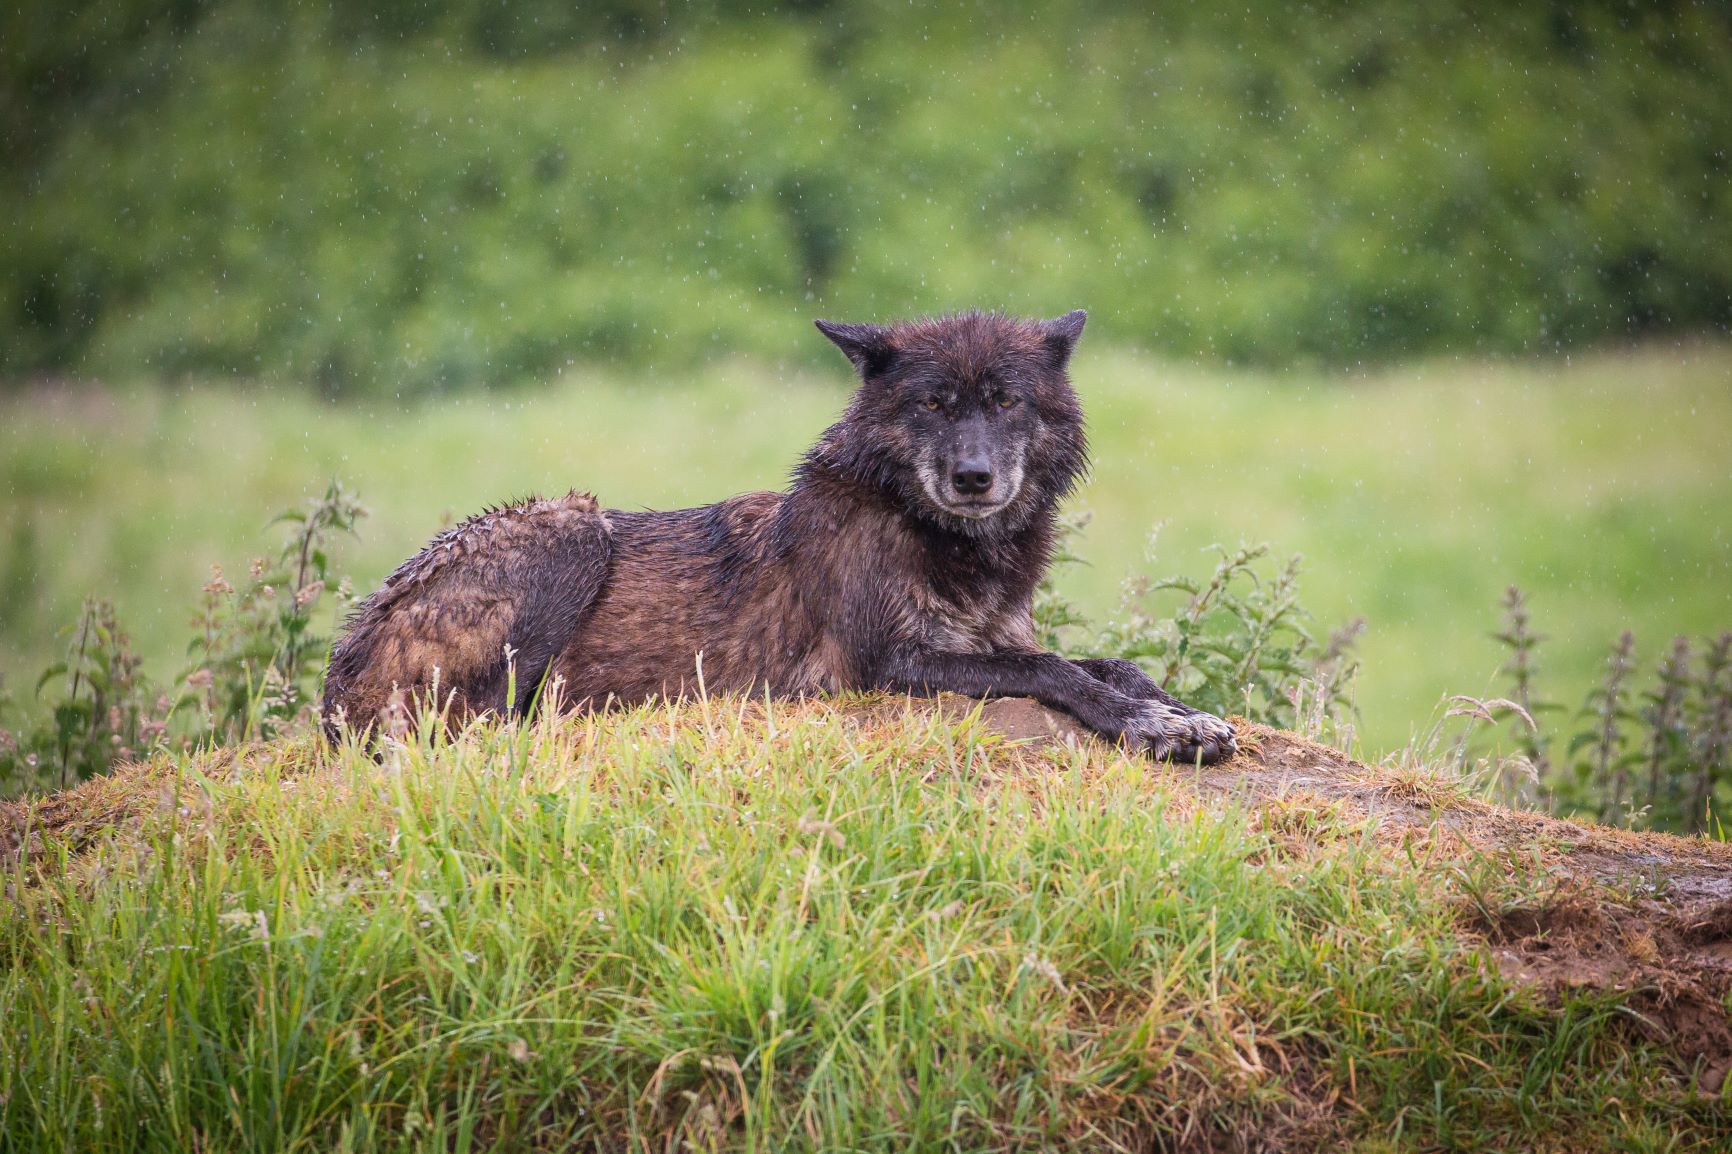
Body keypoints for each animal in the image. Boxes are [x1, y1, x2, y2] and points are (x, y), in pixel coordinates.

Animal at [322, 311, 1237, 763]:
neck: (929, 529)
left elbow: (1111, 664)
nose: (974, 478)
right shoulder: (885, 666)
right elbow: (1053, 670)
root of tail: (336, 671)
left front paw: (1181, 711)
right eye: (934, 404)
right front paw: (1155, 727)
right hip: (569, 528)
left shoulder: (991, 635)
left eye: (1006, 401)